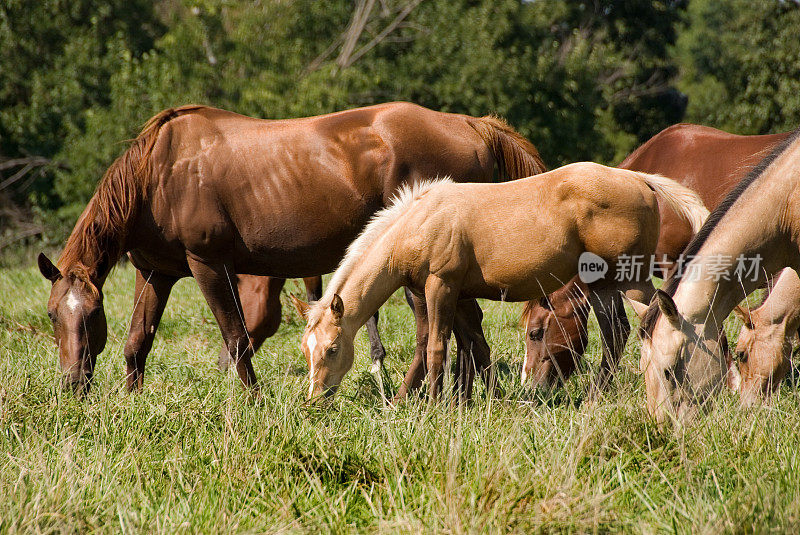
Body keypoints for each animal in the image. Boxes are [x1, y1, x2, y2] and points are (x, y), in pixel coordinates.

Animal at [36, 102, 544, 394]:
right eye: (52, 315)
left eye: (91, 315)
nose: (71, 384)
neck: (159, 175)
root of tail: (471, 124)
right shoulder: (156, 273)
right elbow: (137, 343)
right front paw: (133, 401)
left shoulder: (208, 265)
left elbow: (236, 337)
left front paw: (253, 401)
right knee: (468, 331)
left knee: (435, 333)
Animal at [296, 163, 708, 402]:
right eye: (306, 350)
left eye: (332, 348)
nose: (315, 398)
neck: (418, 223)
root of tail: (639, 180)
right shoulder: (453, 295)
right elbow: (470, 346)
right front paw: (472, 401)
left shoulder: (440, 287)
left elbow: (436, 348)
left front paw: (434, 406)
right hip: (603, 285)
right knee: (615, 332)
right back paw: (594, 396)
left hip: (630, 278)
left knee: (653, 319)